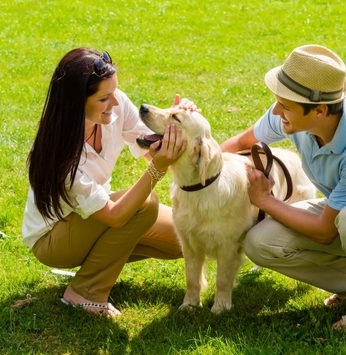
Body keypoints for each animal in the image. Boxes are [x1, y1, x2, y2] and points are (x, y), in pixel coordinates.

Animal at [137, 105, 314, 314]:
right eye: (171, 109)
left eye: (176, 117)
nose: (143, 107)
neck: (200, 188)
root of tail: (293, 155)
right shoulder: (188, 244)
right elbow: (192, 279)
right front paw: (189, 304)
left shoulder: (228, 247)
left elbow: (222, 280)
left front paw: (220, 307)